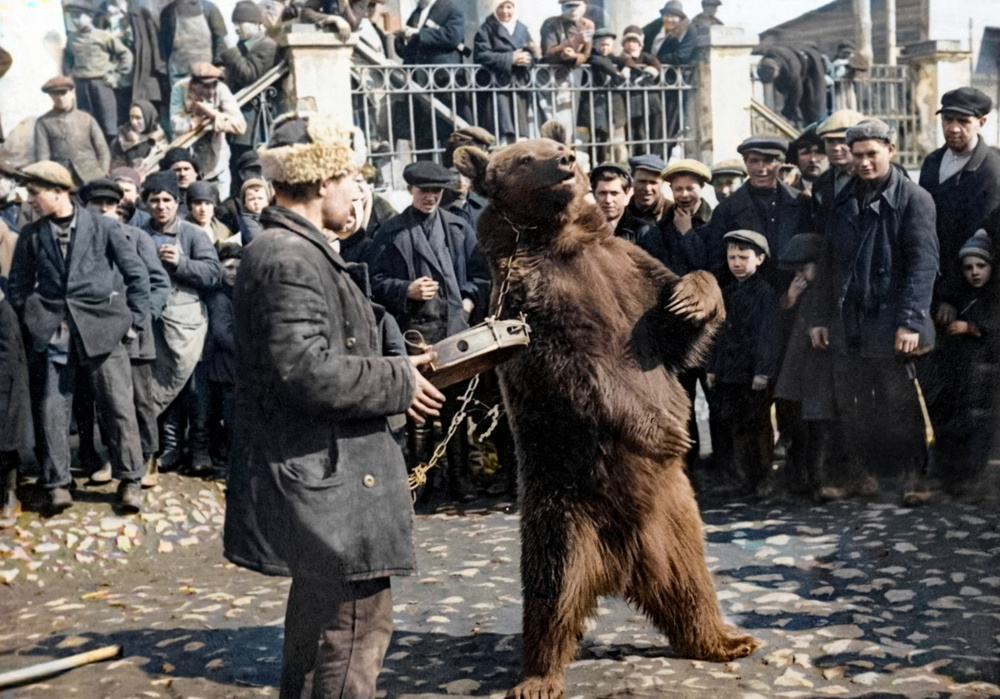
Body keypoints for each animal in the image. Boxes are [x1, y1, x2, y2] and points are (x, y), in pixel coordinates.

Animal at [458, 138, 760, 699]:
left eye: (556, 146)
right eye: (524, 158)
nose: (564, 160)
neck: (563, 243)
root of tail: (622, 565)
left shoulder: (627, 270)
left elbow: (674, 320)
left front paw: (694, 298)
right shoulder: (532, 304)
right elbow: (581, 371)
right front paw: (660, 428)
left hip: (677, 519)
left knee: (694, 582)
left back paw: (725, 640)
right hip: (560, 509)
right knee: (550, 595)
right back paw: (538, 677)